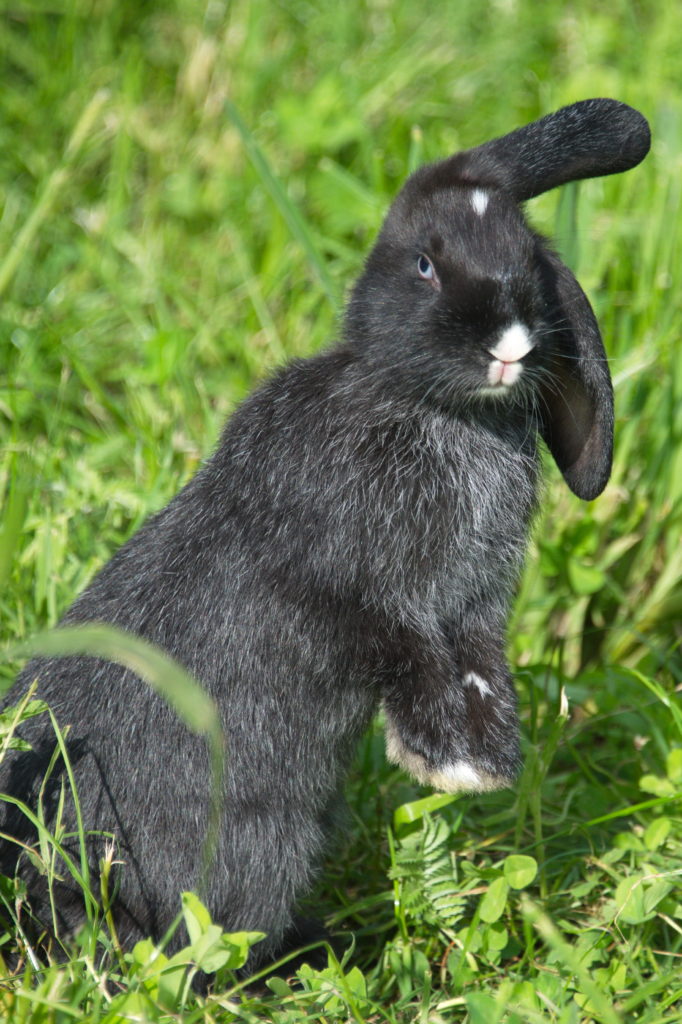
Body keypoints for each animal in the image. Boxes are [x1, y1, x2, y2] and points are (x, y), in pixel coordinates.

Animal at [0, 98, 650, 971]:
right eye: (424, 264)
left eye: (526, 263)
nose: (510, 346)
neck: (440, 413)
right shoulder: (355, 587)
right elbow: (404, 651)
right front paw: (452, 764)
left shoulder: (474, 611)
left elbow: (477, 667)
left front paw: (490, 758)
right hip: (254, 843)